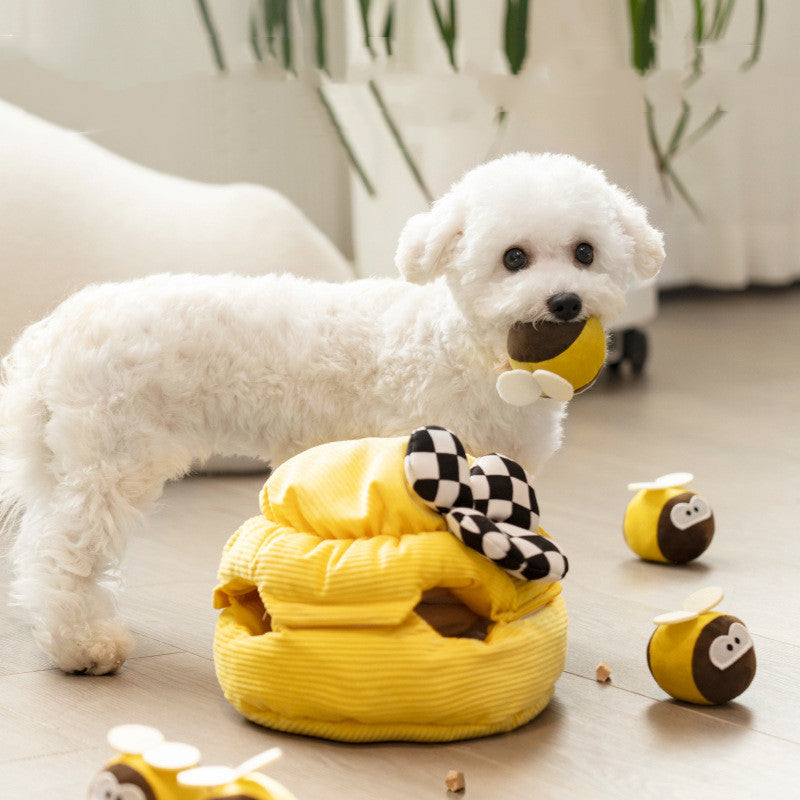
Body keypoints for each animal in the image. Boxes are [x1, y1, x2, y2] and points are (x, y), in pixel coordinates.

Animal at [0, 152, 664, 676]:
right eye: (514, 258)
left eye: (585, 252)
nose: (565, 301)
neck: (475, 353)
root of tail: (49, 338)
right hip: (110, 462)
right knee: (60, 556)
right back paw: (82, 644)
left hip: (68, 462)